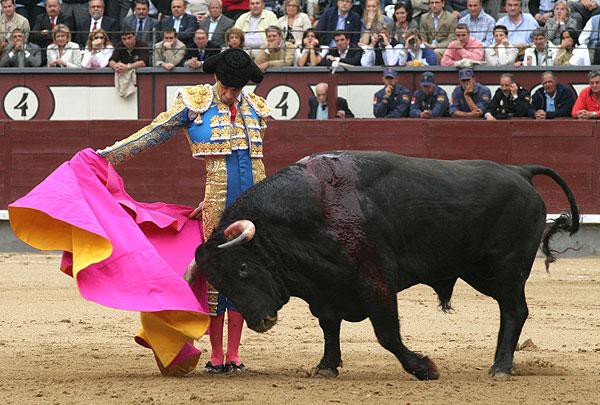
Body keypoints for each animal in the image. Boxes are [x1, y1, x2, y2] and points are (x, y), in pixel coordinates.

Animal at [189, 151, 580, 378]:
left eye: (242, 268)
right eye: (220, 283)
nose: (262, 322)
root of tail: (520, 171)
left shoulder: (375, 280)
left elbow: (387, 333)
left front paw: (424, 367)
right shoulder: (325, 288)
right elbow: (329, 327)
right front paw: (326, 367)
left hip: (506, 266)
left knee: (514, 310)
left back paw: (500, 368)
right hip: (479, 270)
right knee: (510, 310)